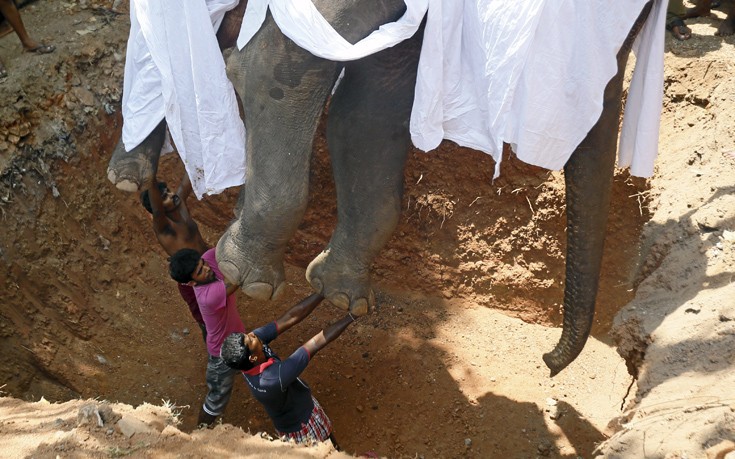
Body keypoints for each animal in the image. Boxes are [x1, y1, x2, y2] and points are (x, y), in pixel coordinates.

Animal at [108, 0, 660, 378]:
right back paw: (131, 174)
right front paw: (252, 281)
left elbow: (372, 108)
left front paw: (342, 297)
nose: (546, 361)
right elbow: (281, 64)